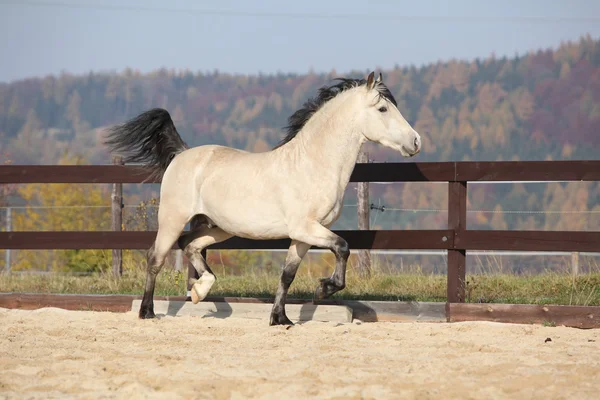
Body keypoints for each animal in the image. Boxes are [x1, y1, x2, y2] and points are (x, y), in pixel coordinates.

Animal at [104, 72, 422, 326]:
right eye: (383, 108)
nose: (416, 141)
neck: (312, 164)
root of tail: (182, 153)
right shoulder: (306, 228)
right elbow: (343, 247)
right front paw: (323, 289)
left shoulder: (303, 236)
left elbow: (287, 275)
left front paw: (280, 319)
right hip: (173, 218)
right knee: (155, 257)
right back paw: (147, 312)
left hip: (218, 226)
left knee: (189, 245)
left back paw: (199, 291)